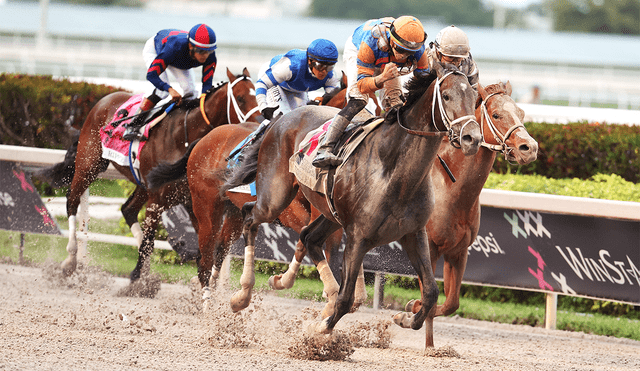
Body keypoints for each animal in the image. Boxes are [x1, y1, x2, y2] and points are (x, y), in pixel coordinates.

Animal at [35, 67, 258, 282]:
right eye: (240, 98)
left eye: (256, 93)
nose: (260, 122)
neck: (185, 137)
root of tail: (103, 101)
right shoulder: (158, 199)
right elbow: (151, 240)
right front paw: (137, 278)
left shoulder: (191, 200)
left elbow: (203, 246)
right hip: (89, 164)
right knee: (72, 199)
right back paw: (71, 258)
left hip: (142, 184)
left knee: (128, 209)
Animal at [222, 63, 482, 334]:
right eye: (447, 96)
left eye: (474, 98)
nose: (472, 138)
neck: (394, 172)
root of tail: (282, 118)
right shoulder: (358, 237)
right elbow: (346, 299)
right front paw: (320, 328)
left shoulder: (414, 233)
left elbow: (431, 292)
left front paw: (405, 317)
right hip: (275, 197)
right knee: (250, 216)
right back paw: (242, 295)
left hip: (329, 213)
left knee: (307, 236)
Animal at [396, 80, 540, 348]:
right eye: (496, 114)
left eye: (522, 113)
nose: (529, 148)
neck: (451, 189)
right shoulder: (429, 247)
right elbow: (429, 296)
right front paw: (413, 318)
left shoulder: (458, 251)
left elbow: (451, 303)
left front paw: (419, 322)